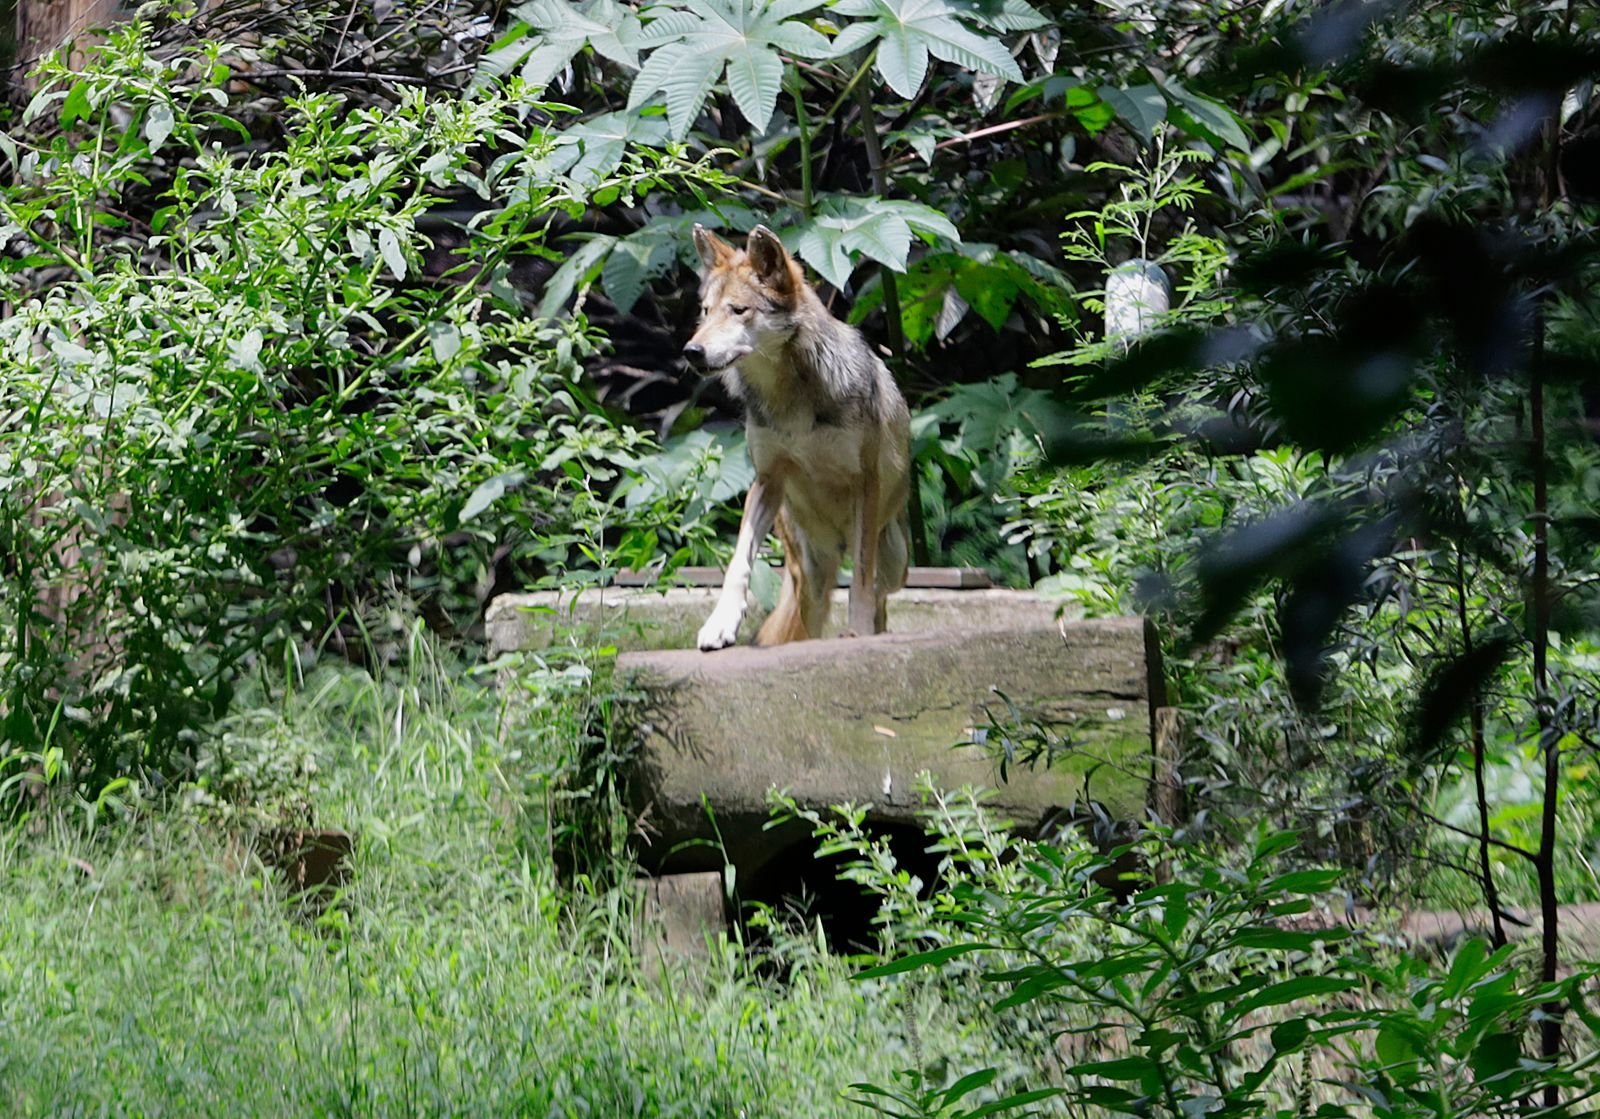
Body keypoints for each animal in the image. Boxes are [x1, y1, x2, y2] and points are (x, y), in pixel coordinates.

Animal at [683, 224, 911, 651]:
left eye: (739, 310)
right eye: (705, 311)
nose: (693, 350)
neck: (788, 397)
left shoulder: (865, 483)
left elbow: (861, 578)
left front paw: (857, 631)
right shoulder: (768, 479)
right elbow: (738, 562)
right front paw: (720, 624)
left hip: (896, 561)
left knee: (879, 596)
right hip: (808, 570)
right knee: (807, 619)